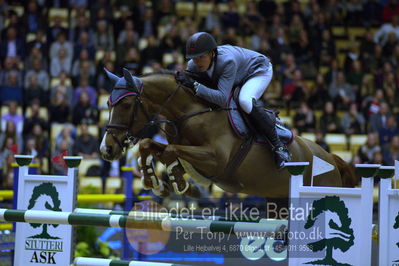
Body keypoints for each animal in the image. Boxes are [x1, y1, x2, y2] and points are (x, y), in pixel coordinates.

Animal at [101, 69, 358, 198]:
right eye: (107, 103)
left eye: (126, 105)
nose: (106, 149)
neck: (190, 111)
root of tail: (332, 158)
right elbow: (148, 145)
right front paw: (154, 182)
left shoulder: (216, 159)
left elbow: (170, 152)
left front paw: (176, 180)